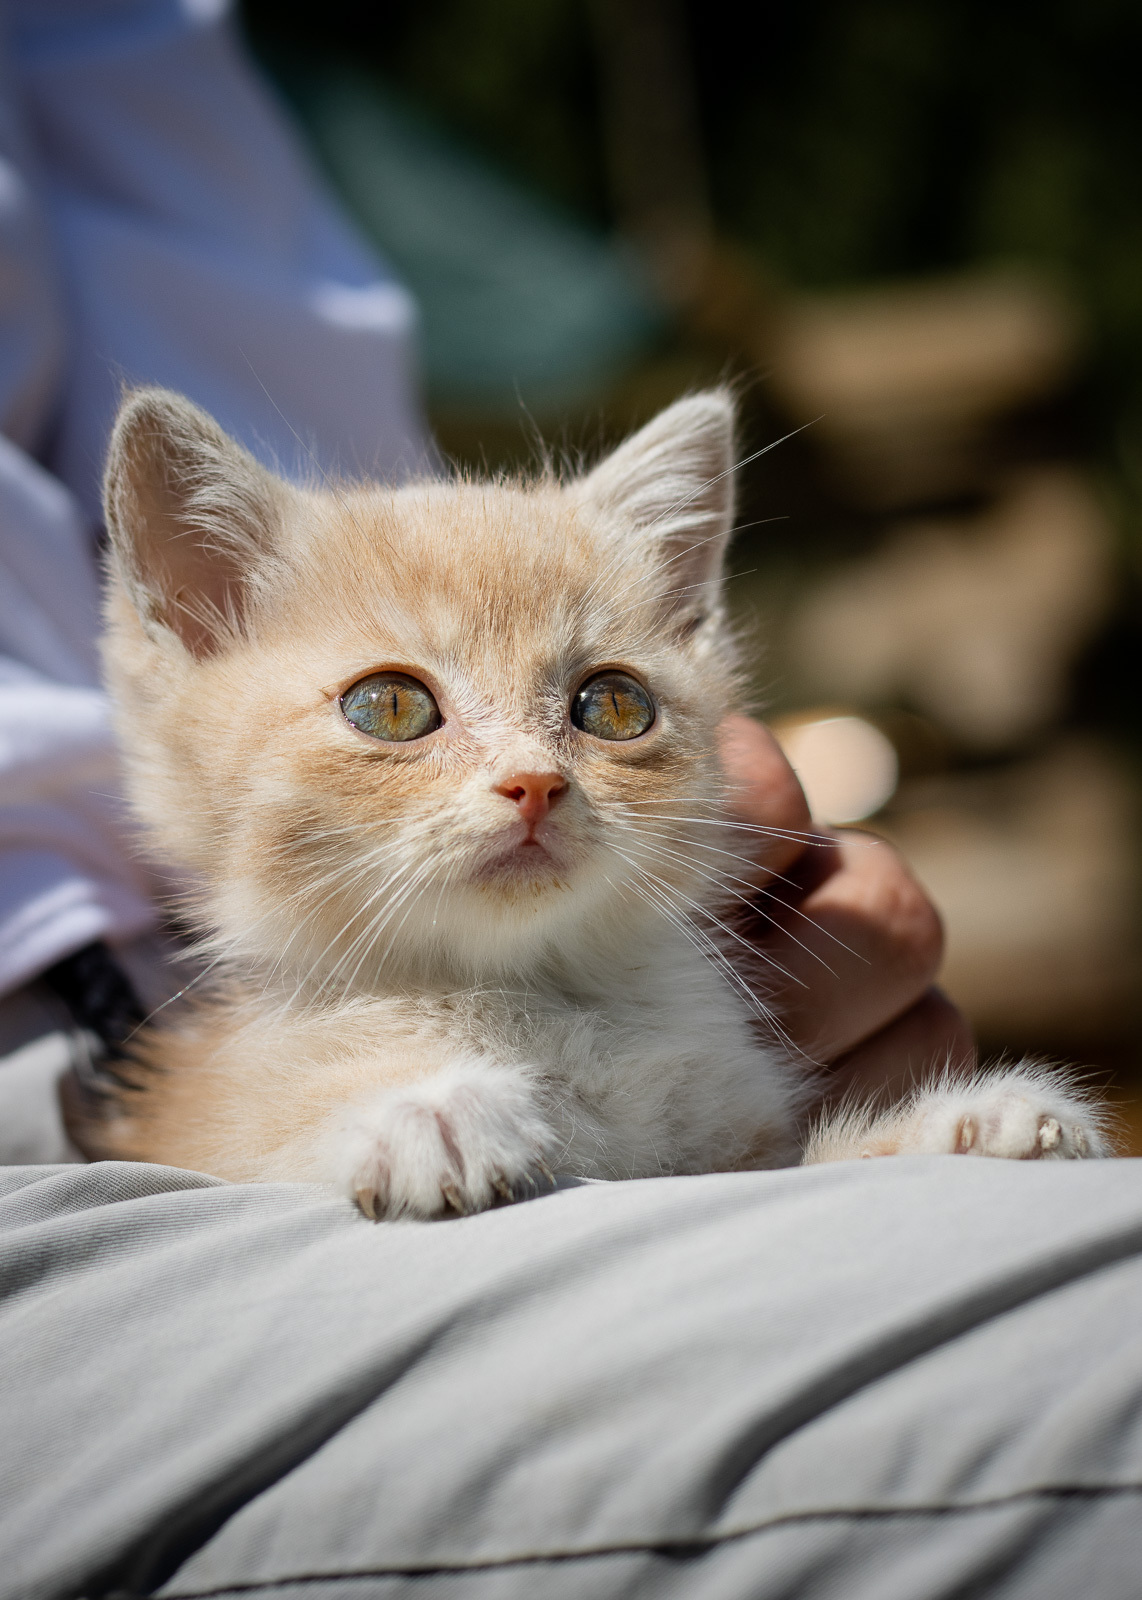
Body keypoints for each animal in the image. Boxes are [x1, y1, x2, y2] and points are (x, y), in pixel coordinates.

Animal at [68, 387, 1100, 1209]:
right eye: (391, 706)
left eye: (612, 705)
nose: (536, 783)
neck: (536, 1000)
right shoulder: (197, 1124)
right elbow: (251, 1159)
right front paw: (423, 1116)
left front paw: (979, 1123)